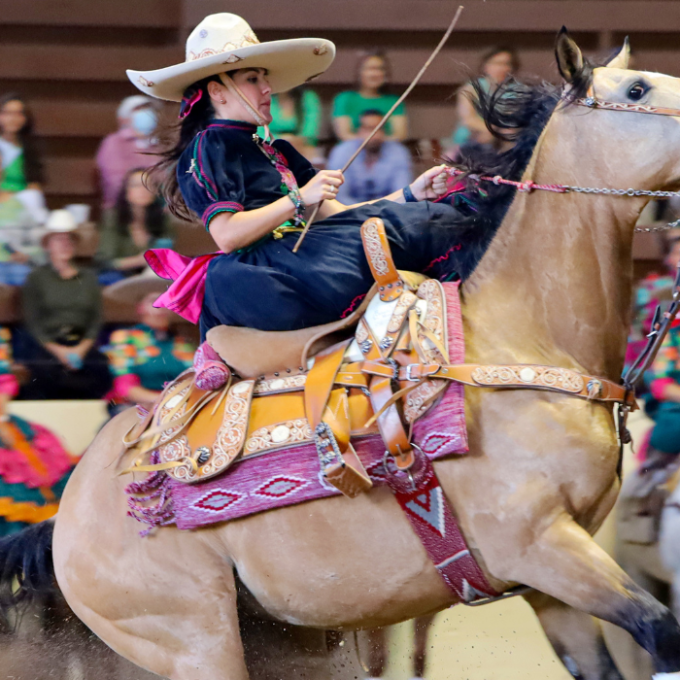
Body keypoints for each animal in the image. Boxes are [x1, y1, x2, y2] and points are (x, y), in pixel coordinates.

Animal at [3, 30, 680, 680]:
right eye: (638, 89)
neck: (518, 337)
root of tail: (68, 512)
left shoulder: (554, 586)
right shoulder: (542, 547)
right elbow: (662, 630)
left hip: (291, 642)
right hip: (197, 644)